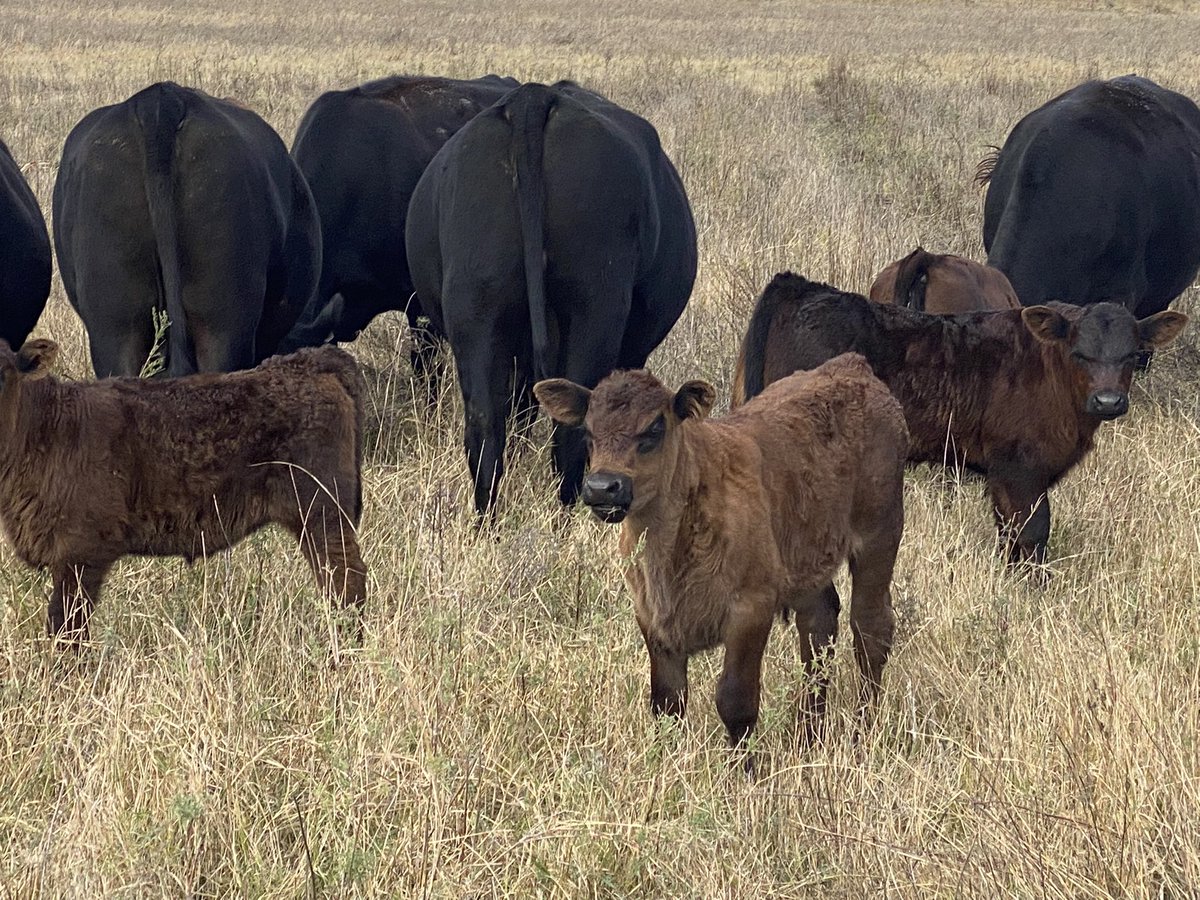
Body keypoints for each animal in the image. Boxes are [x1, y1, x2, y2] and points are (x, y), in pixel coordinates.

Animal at [0, 340, 367, 645]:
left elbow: (67, 626)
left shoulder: (80, 552)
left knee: (346, 582)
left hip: (321, 510)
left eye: (3, 374)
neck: (50, 429)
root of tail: (308, 361)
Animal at [406, 80, 697, 517]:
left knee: (485, 427)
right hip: (593, 309)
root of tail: (535, 96)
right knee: (570, 433)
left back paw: (488, 522)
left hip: (476, 310)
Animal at [534, 355, 907, 756]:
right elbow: (668, 704)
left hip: (879, 536)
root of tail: (853, 366)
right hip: (805, 564)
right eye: (588, 432)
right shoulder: (652, 618)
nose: (603, 487)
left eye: (654, 428)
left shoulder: (751, 609)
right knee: (819, 626)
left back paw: (862, 734)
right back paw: (807, 738)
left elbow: (736, 703)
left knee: (870, 630)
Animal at [733, 273, 1188, 567]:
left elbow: (1009, 533)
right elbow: (1033, 532)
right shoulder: (1019, 468)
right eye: (1080, 353)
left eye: (1132, 354)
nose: (1108, 401)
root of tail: (802, 287)